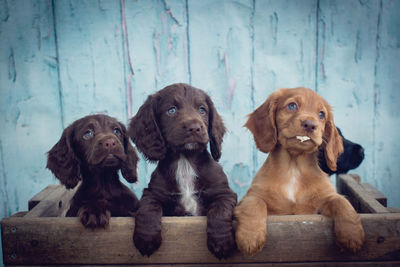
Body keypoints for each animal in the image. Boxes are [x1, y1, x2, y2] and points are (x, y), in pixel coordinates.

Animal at [129, 83, 238, 260]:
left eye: (202, 110)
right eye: (171, 110)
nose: (195, 128)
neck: (185, 162)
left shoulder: (224, 192)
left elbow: (220, 211)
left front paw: (221, 243)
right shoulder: (152, 193)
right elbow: (147, 208)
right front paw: (146, 239)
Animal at [234, 88, 366, 258]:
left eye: (321, 114)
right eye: (292, 106)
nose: (310, 124)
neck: (293, 168)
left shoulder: (323, 201)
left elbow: (342, 203)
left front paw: (352, 236)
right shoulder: (251, 196)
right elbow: (254, 204)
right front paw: (250, 238)